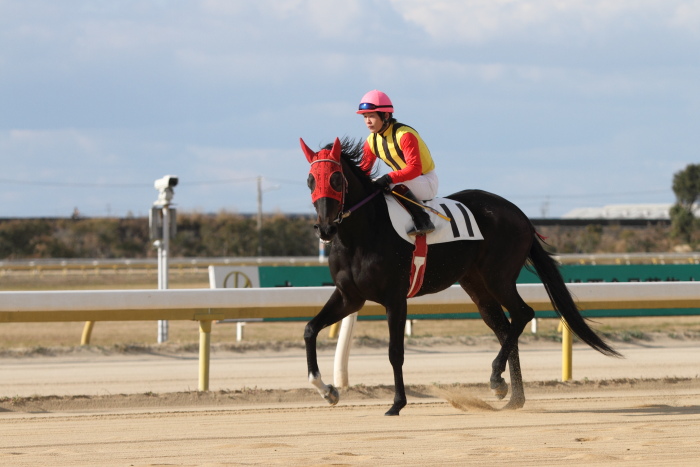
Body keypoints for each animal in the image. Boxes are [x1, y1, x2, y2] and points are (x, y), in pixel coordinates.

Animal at [298, 136, 620, 416]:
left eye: (336, 178)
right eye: (311, 180)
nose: (325, 229)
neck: (362, 235)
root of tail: (519, 214)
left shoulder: (395, 299)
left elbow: (395, 351)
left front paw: (397, 404)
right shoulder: (350, 297)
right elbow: (310, 329)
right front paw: (328, 391)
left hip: (498, 277)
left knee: (523, 313)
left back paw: (496, 380)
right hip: (476, 284)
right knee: (504, 328)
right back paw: (512, 395)